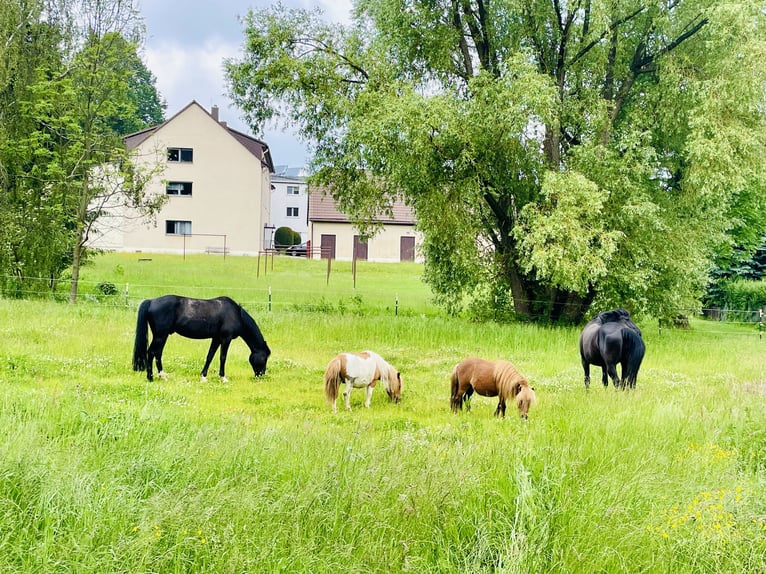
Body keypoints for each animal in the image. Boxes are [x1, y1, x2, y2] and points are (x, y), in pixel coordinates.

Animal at [134, 296, 272, 382]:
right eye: (264, 358)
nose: (261, 375)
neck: (235, 314)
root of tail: (151, 301)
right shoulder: (226, 339)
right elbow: (223, 358)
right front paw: (223, 378)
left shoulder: (216, 338)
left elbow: (210, 356)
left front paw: (203, 377)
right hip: (160, 336)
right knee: (152, 352)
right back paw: (151, 377)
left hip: (162, 336)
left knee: (157, 353)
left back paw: (161, 376)